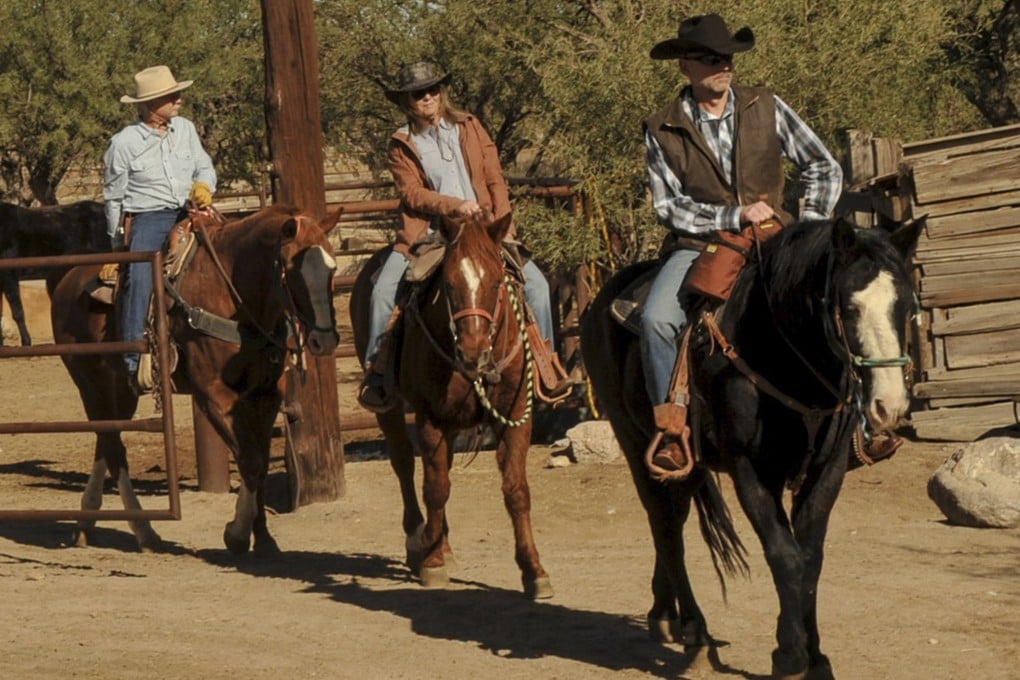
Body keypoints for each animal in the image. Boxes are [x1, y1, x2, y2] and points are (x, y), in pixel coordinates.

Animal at [47, 204, 340, 555]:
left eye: (333, 268)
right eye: (293, 272)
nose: (325, 340)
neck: (232, 294)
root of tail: (68, 281)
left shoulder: (265, 396)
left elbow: (260, 464)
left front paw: (264, 539)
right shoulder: (213, 394)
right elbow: (250, 460)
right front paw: (236, 534)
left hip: (121, 389)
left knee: (106, 443)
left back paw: (86, 524)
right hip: (91, 382)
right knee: (113, 447)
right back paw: (145, 533)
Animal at [349, 211, 553, 598]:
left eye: (496, 283)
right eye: (449, 285)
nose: (473, 354)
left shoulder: (517, 413)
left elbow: (516, 490)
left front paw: (534, 570)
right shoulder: (430, 416)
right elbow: (436, 488)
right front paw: (430, 562)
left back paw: (441, 543)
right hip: (392, 407)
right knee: (405, 465)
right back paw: (420, 542)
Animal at [580, 216, 921, 679]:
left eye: (905, 307)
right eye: (849, 308)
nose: (889, 408)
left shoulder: (827, 470)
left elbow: (810, 558)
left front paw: (816, 657)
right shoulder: (751, 472)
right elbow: (785, 555)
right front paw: (790, 656)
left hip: (688, 464)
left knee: (674, 519)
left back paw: (664, 614)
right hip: (634, 443)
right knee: (664, 525)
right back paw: (695, 629)